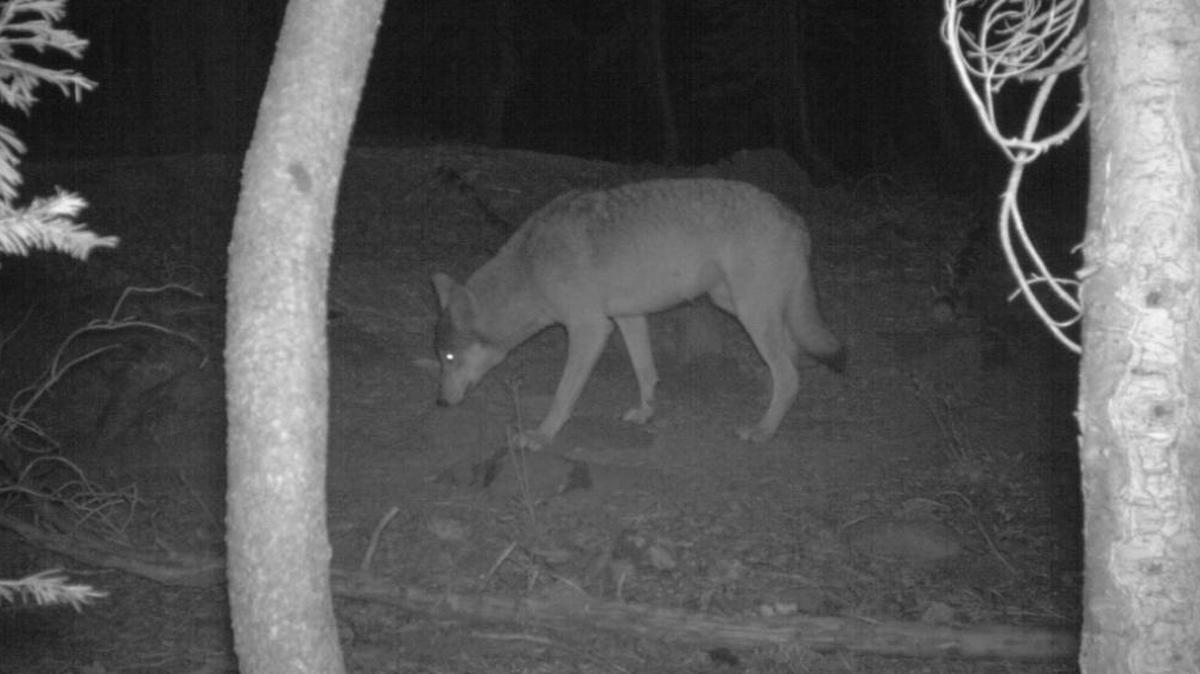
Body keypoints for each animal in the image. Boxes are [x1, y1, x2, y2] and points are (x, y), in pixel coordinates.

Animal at [432, 178, 844, 450]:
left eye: (449, 357)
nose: (439, 404)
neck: (530, 268)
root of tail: (794, 217)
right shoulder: (628, 319)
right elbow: (647, 373)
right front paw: (646, 413)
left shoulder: (590, 330)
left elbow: (563, 395)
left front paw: (541, 436)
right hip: (737, 304)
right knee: (791, 360)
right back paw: (768, 407)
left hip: (749, 312)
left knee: (789, 373)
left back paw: (763, 430)